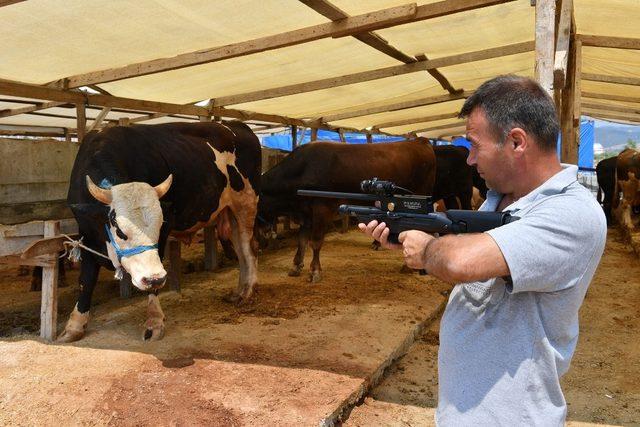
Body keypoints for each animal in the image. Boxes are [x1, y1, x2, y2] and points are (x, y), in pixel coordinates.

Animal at [59, 121, 260, 344]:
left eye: (159, 225)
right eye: (120, 230)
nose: (152, 278)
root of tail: (237, 125)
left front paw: (154, 322)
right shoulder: (86, 234)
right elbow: (86, 280)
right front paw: (74, 326)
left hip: (247, 203)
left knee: (248, 249)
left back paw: (247, 292)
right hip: (230, 213)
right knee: (241, 252)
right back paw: (239, 291)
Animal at [258, 139, 438, 282]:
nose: (262, 241)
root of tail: (419, 141)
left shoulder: (321, 209)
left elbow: (315, 241)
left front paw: (314, 271)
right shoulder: (306, 213)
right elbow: (301, 240)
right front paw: (296, 266)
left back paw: (410, 267)